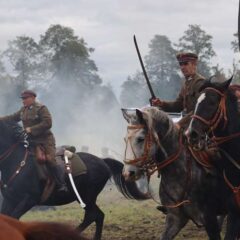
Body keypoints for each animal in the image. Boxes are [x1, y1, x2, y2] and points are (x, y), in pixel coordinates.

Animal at [0, 119, 148, 239]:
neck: (17, 162)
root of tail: (102, 161)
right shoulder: (10, 199)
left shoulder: (29, 200)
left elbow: (13, 218)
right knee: (97, 216)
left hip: (87, 197)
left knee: (94, 215)